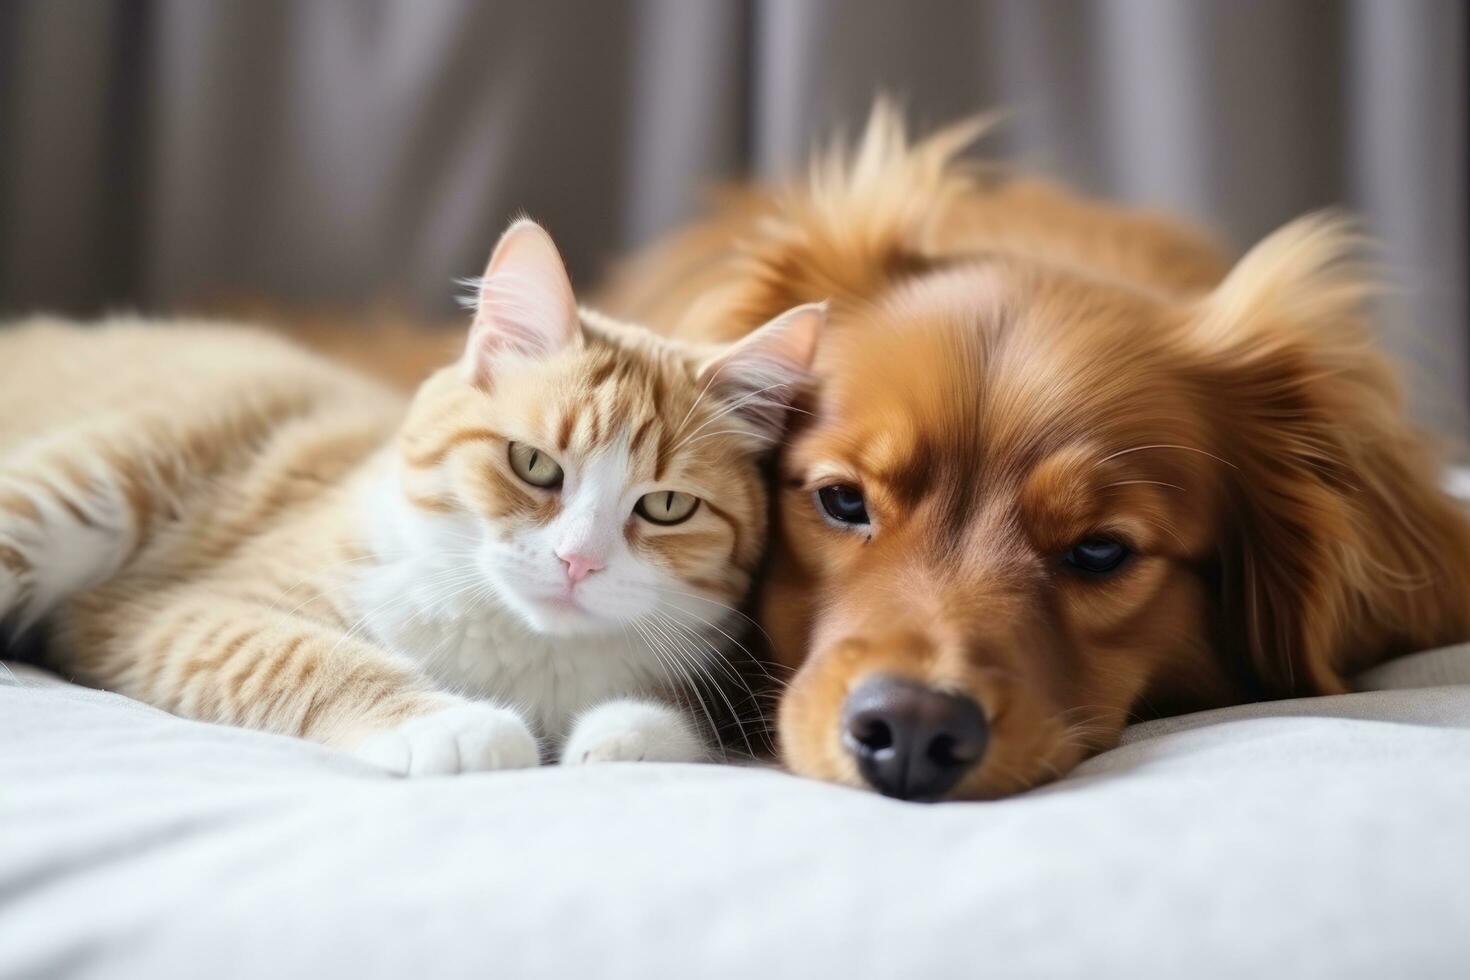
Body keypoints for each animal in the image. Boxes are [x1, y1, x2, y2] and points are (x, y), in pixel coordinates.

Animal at [0, 220, 829, 775]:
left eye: (665, 507)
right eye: (534, 464)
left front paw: (625, 735)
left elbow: (666, 720)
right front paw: (458, 726)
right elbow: (311, 658)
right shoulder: (182, 607)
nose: (577, 562)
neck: (522, 647)